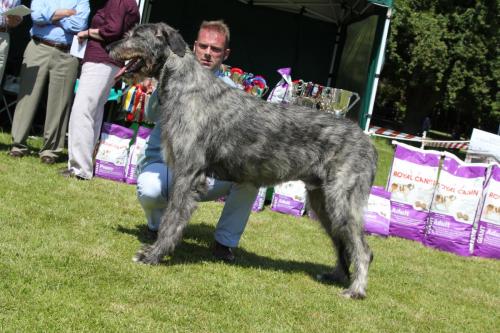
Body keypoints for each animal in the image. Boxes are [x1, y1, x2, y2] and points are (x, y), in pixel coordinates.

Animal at [108, 22, 376, 298]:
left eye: (136, 35)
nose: (108, 47)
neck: (185, 84)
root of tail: (367, 141)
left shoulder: (188, 174)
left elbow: (171, 219)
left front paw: (154, 255)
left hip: (341, 199)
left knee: (363, 249)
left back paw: (356, 289)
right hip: (321, 200)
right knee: (341, 241)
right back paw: (337, 276)